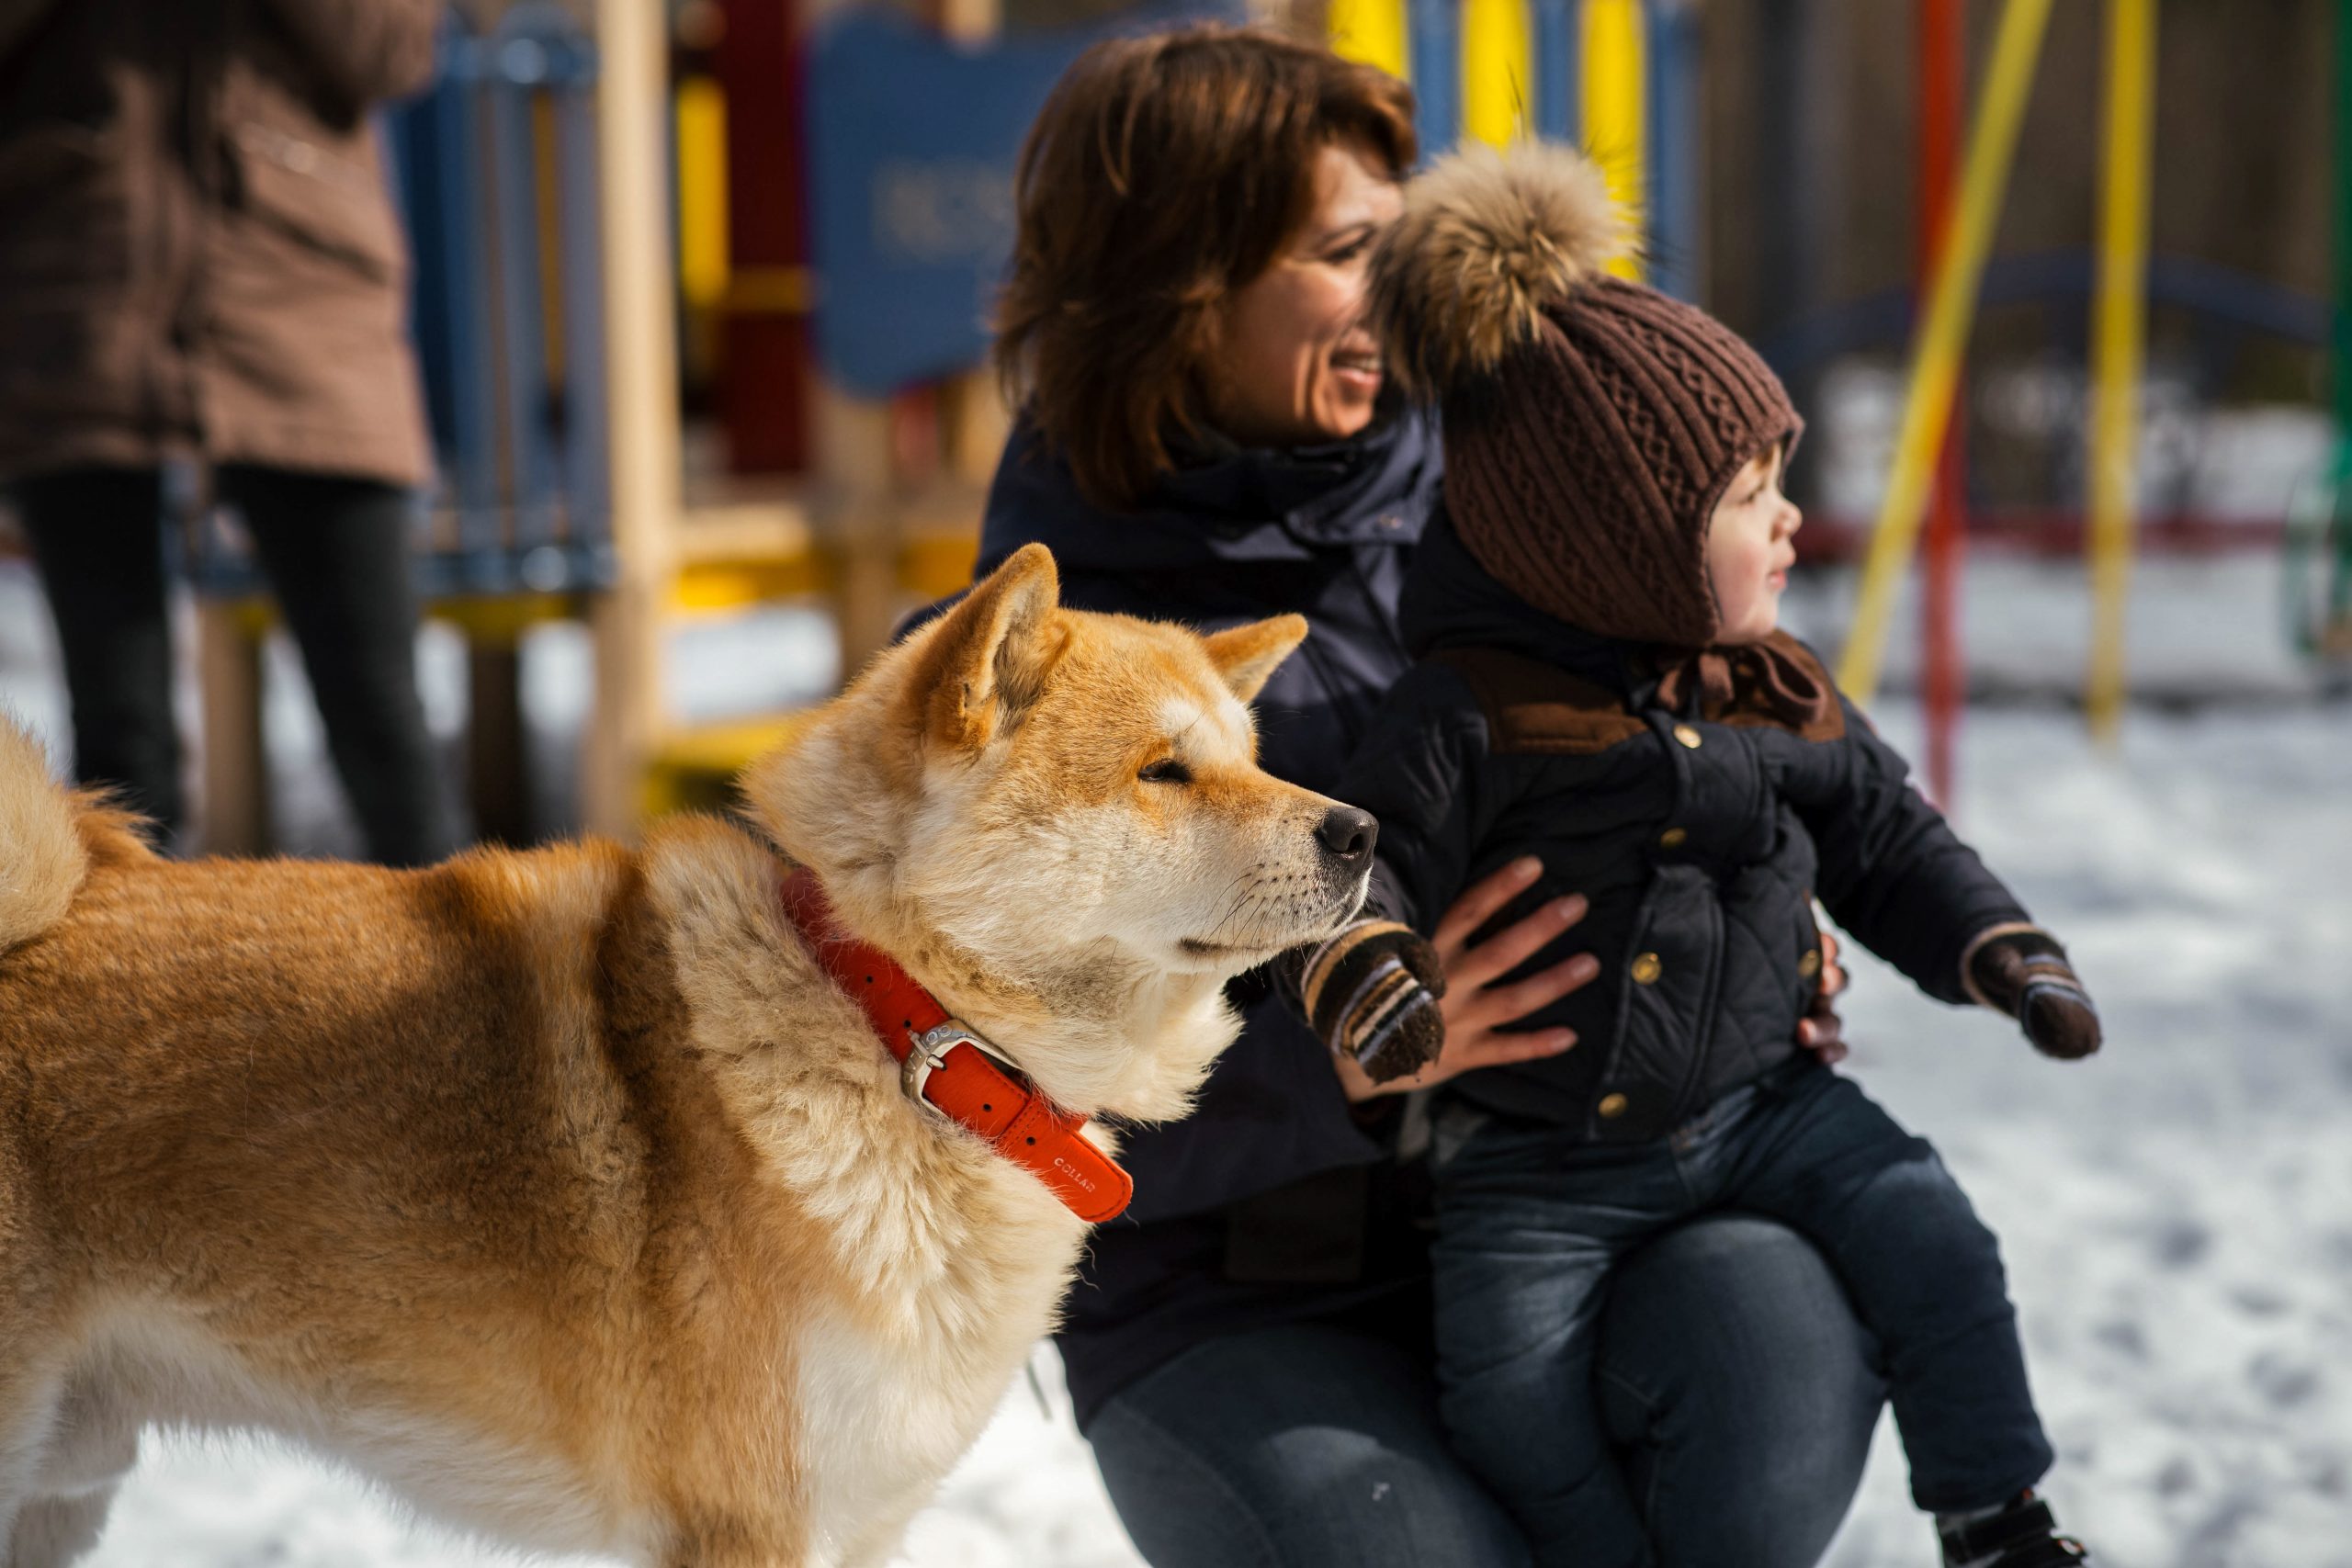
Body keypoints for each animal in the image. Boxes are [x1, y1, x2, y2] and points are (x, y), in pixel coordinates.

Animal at [0, 543, 1374, 1568]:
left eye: (1250, 758)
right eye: (1162, 770)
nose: (1360, 830)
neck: (898, 1024)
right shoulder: (745, 1523)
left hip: (59, 1489)